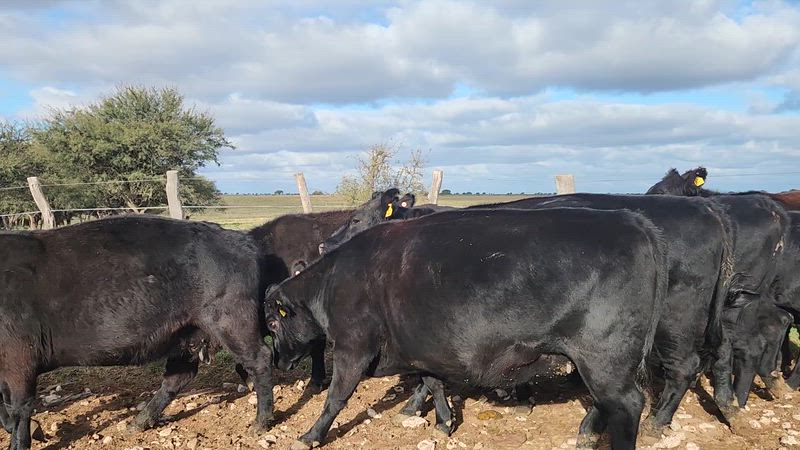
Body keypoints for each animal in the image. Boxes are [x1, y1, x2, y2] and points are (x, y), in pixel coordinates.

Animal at [0, 216, 275, 450]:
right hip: (187, 333)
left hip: (231, 322)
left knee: (259, 360)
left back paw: (261, 422)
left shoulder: (19, 361)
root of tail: (237, 237)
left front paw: (18, 442)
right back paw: (139, 422)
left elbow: (20, 407)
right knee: (178, 377)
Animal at [267, 207, 669, 450]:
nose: (279, 363)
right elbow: (434, 383)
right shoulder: (422, 348)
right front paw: (444, 422)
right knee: (605, 402)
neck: (333, 282)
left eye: (272, 322)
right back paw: (586, 433)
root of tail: (632, 220)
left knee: (627, 404)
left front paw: (309, 435)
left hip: (604, 356)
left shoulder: (353, 347)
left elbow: (336, 397)